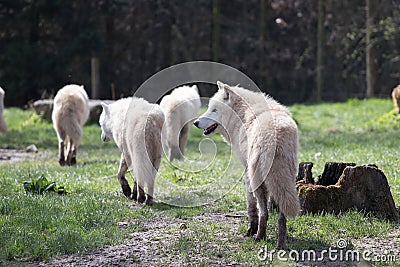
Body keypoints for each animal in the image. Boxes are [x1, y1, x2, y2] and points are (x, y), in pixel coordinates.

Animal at [194, 82, 300, 251]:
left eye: (214, 110)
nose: (195, 123)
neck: (241, 115)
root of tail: (276, 137)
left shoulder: (246, 170)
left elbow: (250, 203)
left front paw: (251, 229)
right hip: (287, 179)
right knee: (281, 216)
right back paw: (281, 245)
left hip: (258, 179)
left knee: (264, 213)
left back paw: (259, 237)